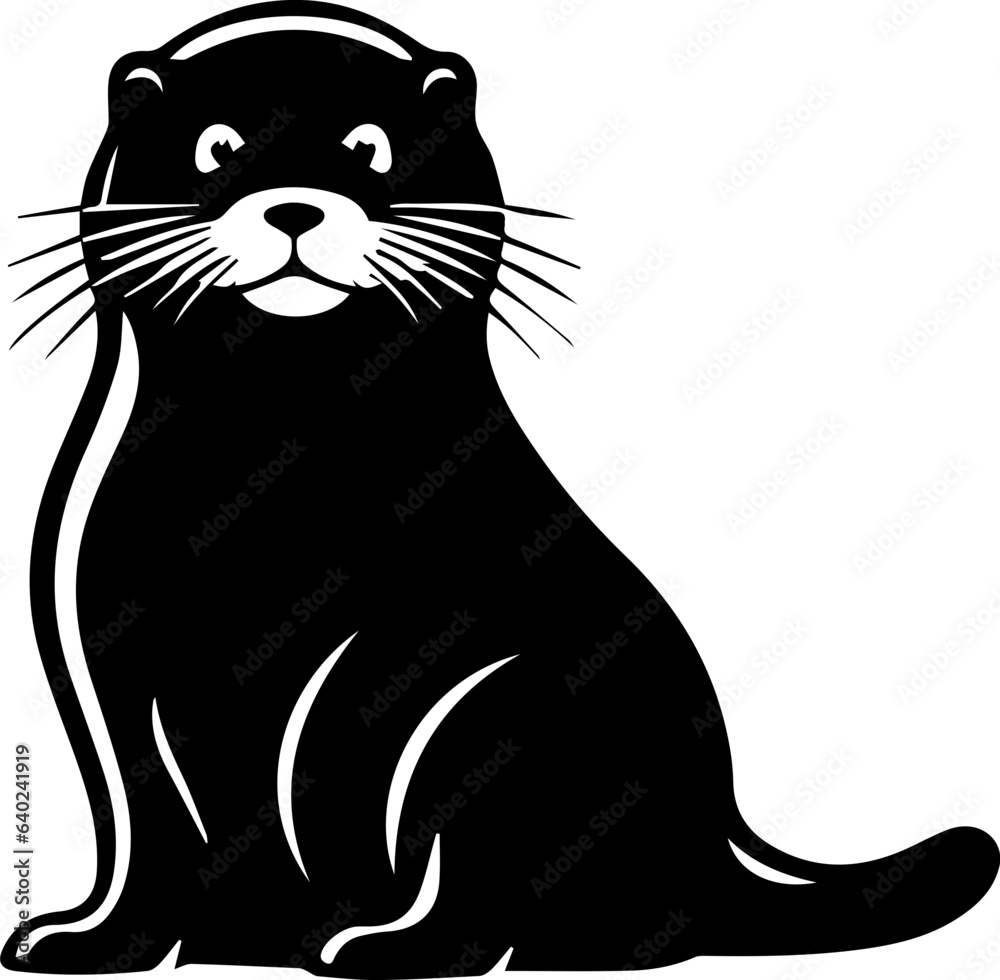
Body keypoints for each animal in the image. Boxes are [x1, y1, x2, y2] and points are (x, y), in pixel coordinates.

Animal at [3, 3, 997, 977]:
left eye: (371, 147)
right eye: (217, 148)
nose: (291, 206)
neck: (268, 452)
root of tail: (724, 849)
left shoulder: (419, 643)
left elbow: (329, 749)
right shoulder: (108, 670)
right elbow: (141, 825)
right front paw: (96, 944)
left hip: (510, 712)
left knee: (485, 904)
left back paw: (377, 946)